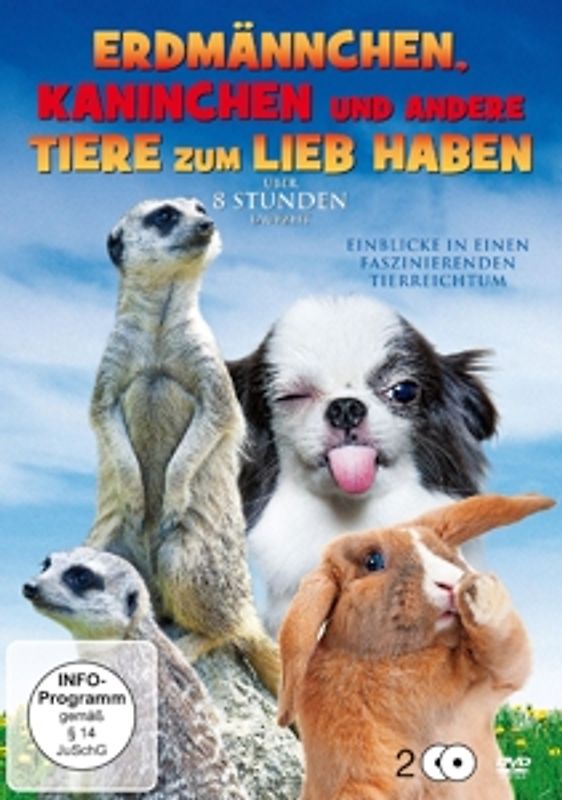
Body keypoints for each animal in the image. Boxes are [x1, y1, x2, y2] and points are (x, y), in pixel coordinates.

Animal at [277, 493, 555, 800]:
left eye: (443, 553)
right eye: (373, 561)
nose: (451, 583)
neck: (399, 658)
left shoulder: (487, 677)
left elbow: (509, 656)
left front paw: (479, 589)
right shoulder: (355, 766)